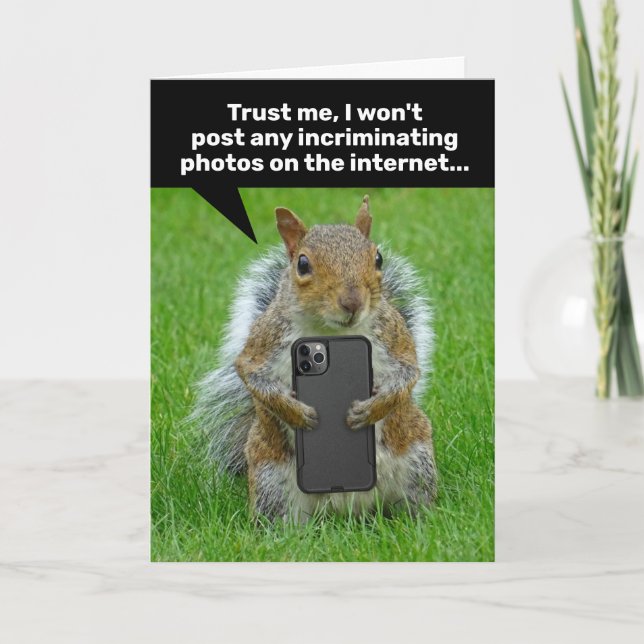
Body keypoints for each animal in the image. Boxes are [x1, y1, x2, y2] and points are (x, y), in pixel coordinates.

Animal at [192, 196, 437, 521]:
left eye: (378, 259)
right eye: (303, 264)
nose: (352, 302)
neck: (330, 332)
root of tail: (349, 510)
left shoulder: (394, 337)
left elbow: (408, 375)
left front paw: (370, 409)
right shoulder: (264, 341)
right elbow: (251, 374)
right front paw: (298, 413)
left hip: (417, 462)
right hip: (271, 484)